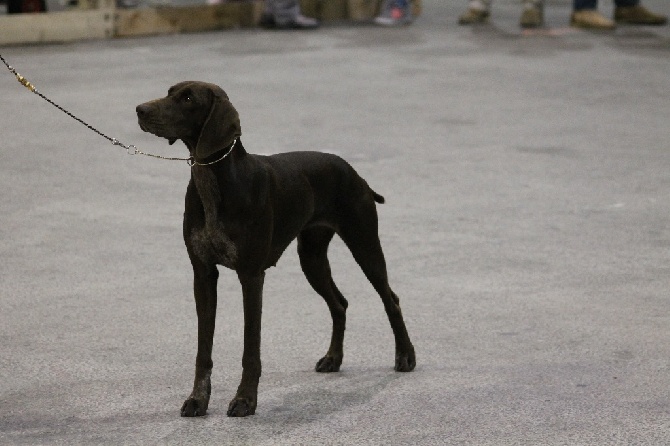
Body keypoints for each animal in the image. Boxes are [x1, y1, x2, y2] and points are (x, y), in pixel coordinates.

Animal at [137, 81, 418, 418]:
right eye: (169, 92)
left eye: (188, 98)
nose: (139, 109)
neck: (215, 182)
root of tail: (353, 171)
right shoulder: (203, 274)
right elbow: (203, 350)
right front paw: (198, 400)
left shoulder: (250, 276)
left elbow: (250, 347)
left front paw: (245, 399)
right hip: (311, 257)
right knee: (340, 303)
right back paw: (333, 358)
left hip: (364, 244)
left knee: (391, 299)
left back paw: (405, 356)